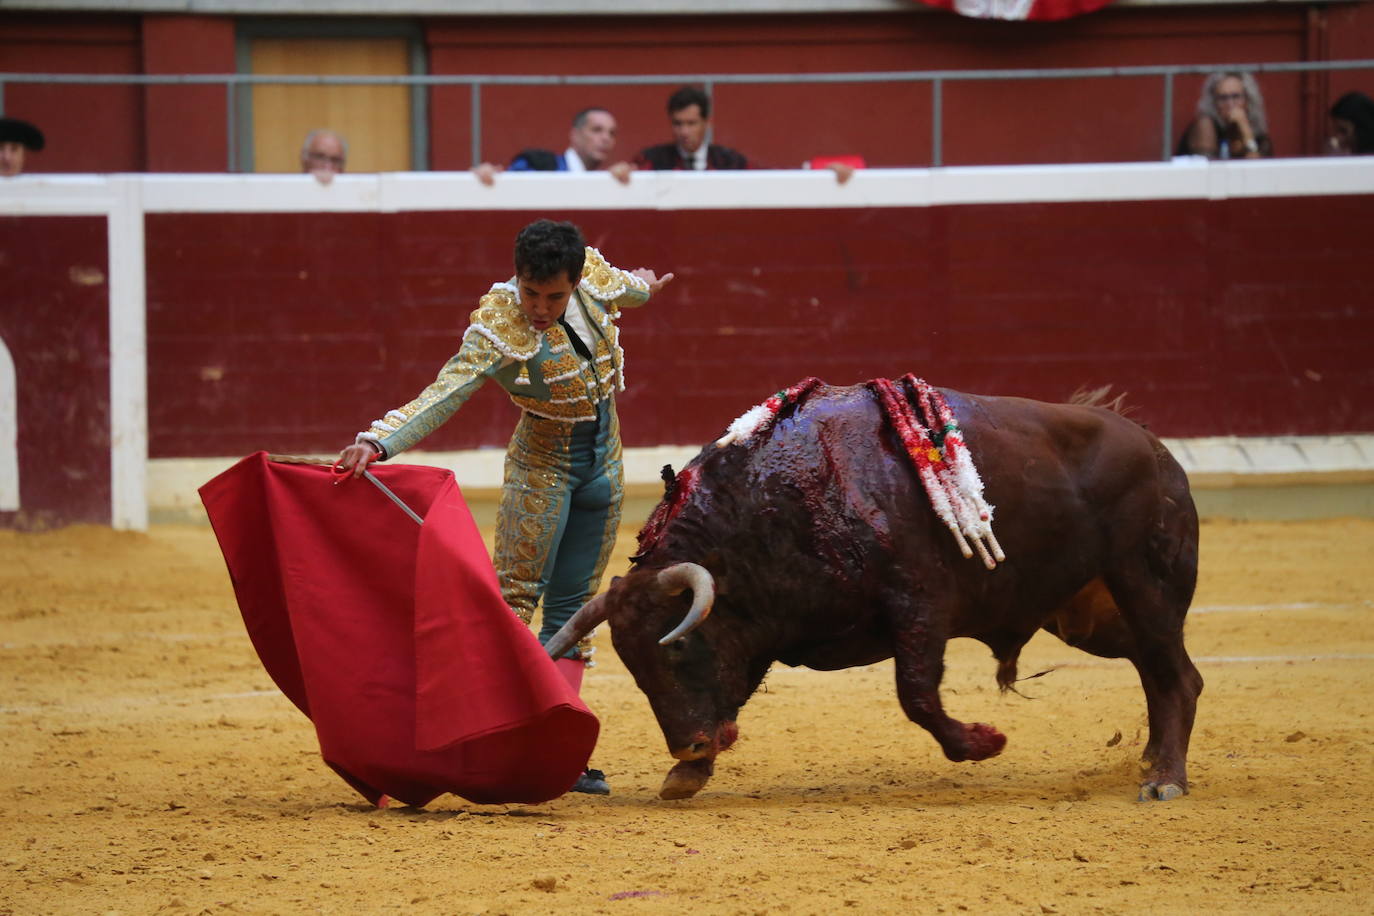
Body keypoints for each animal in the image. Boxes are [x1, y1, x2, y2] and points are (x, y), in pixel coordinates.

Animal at [546, 379, 1203, 802]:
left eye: (677, 645)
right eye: (631, 664)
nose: (686, 747)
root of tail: (1153, 445)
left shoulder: (920, 605)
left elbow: (917, 695)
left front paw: (984, 742)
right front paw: (690, 775)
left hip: (1144, 584)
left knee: (1176, 675)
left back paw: (1165, 778)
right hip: (1088, 615)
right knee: (1159, 671)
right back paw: (1151, 761)